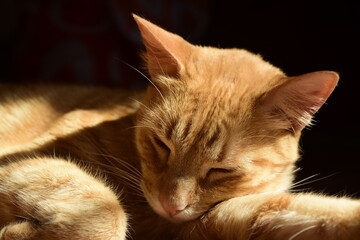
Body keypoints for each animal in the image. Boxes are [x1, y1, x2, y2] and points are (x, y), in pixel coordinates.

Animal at [0, 14, 360, 240]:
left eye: (221, 170)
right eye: (161, 144)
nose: (170, 206)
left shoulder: (220, 218)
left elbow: (317, 215)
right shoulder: (27, 161)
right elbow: (106, 214)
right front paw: (18, 233)